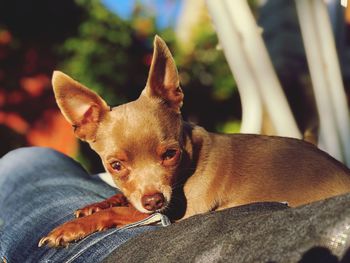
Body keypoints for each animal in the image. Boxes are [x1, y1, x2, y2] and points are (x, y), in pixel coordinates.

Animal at [38, 36, 350, 249]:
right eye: (115, 166)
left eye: (170, 154)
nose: (154, 200)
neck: (190, 160)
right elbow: (122, 200)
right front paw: (98, 203)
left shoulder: (174, 213)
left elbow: (121, 211)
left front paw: (71, 228)